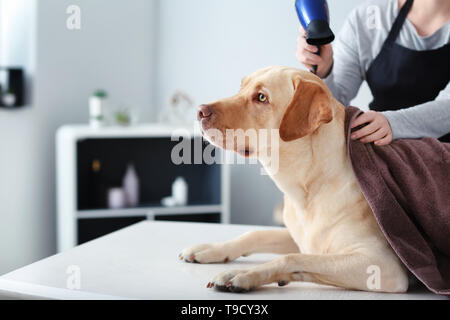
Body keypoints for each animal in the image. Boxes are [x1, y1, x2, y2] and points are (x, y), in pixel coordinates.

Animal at [178, 66, 408, 294]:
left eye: (261, 97)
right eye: (241, 86)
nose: (200, 111)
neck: (308, 186)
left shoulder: (381, 265)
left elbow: (293, 257)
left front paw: (244, 274)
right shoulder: (298, 235)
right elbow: (255, 234)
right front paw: (211, 249)